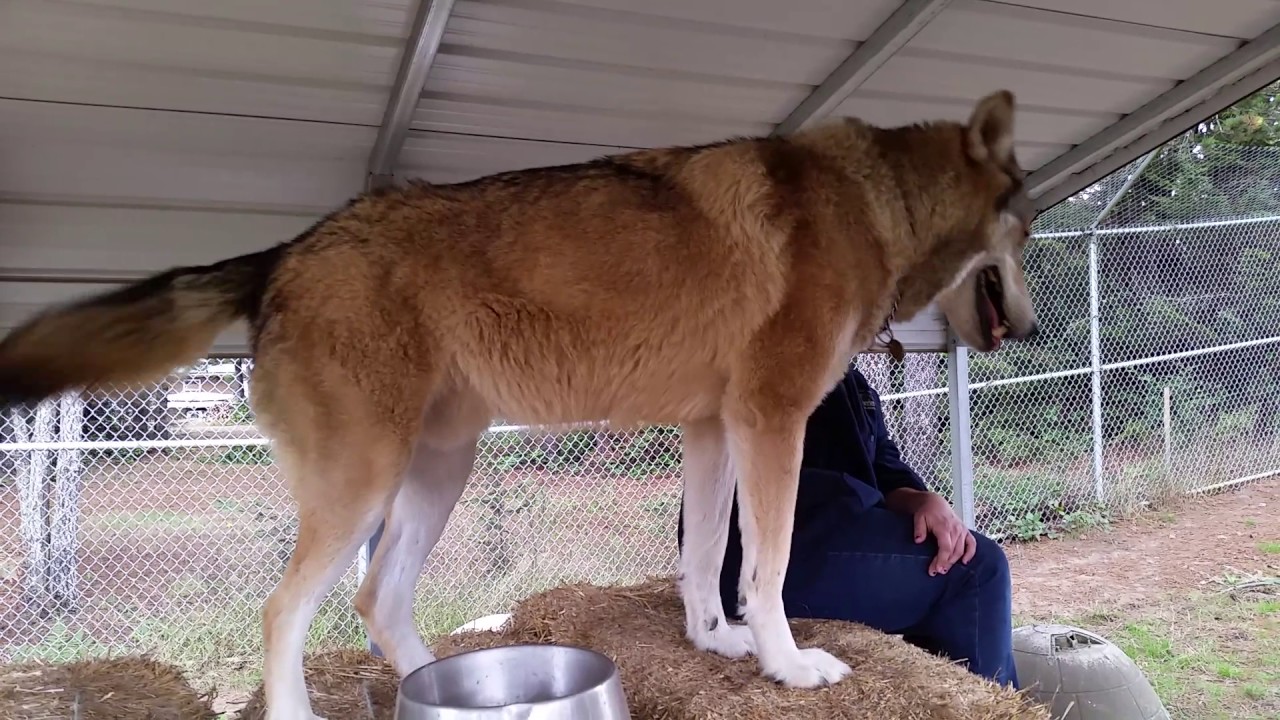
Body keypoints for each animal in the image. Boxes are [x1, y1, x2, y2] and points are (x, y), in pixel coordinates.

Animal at [0, 90, 1038, 719]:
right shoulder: (770, 423)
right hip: (363, 487)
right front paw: (787, 666)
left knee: (378, 602)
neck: (878, 201)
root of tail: (289, 250)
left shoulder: (714, 433)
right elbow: (769, 568)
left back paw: (438, 687)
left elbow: (708, 564)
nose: (1028, 330)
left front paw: (716, 645)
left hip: (434, 474)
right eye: (1028, 231)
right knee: (283, 612)